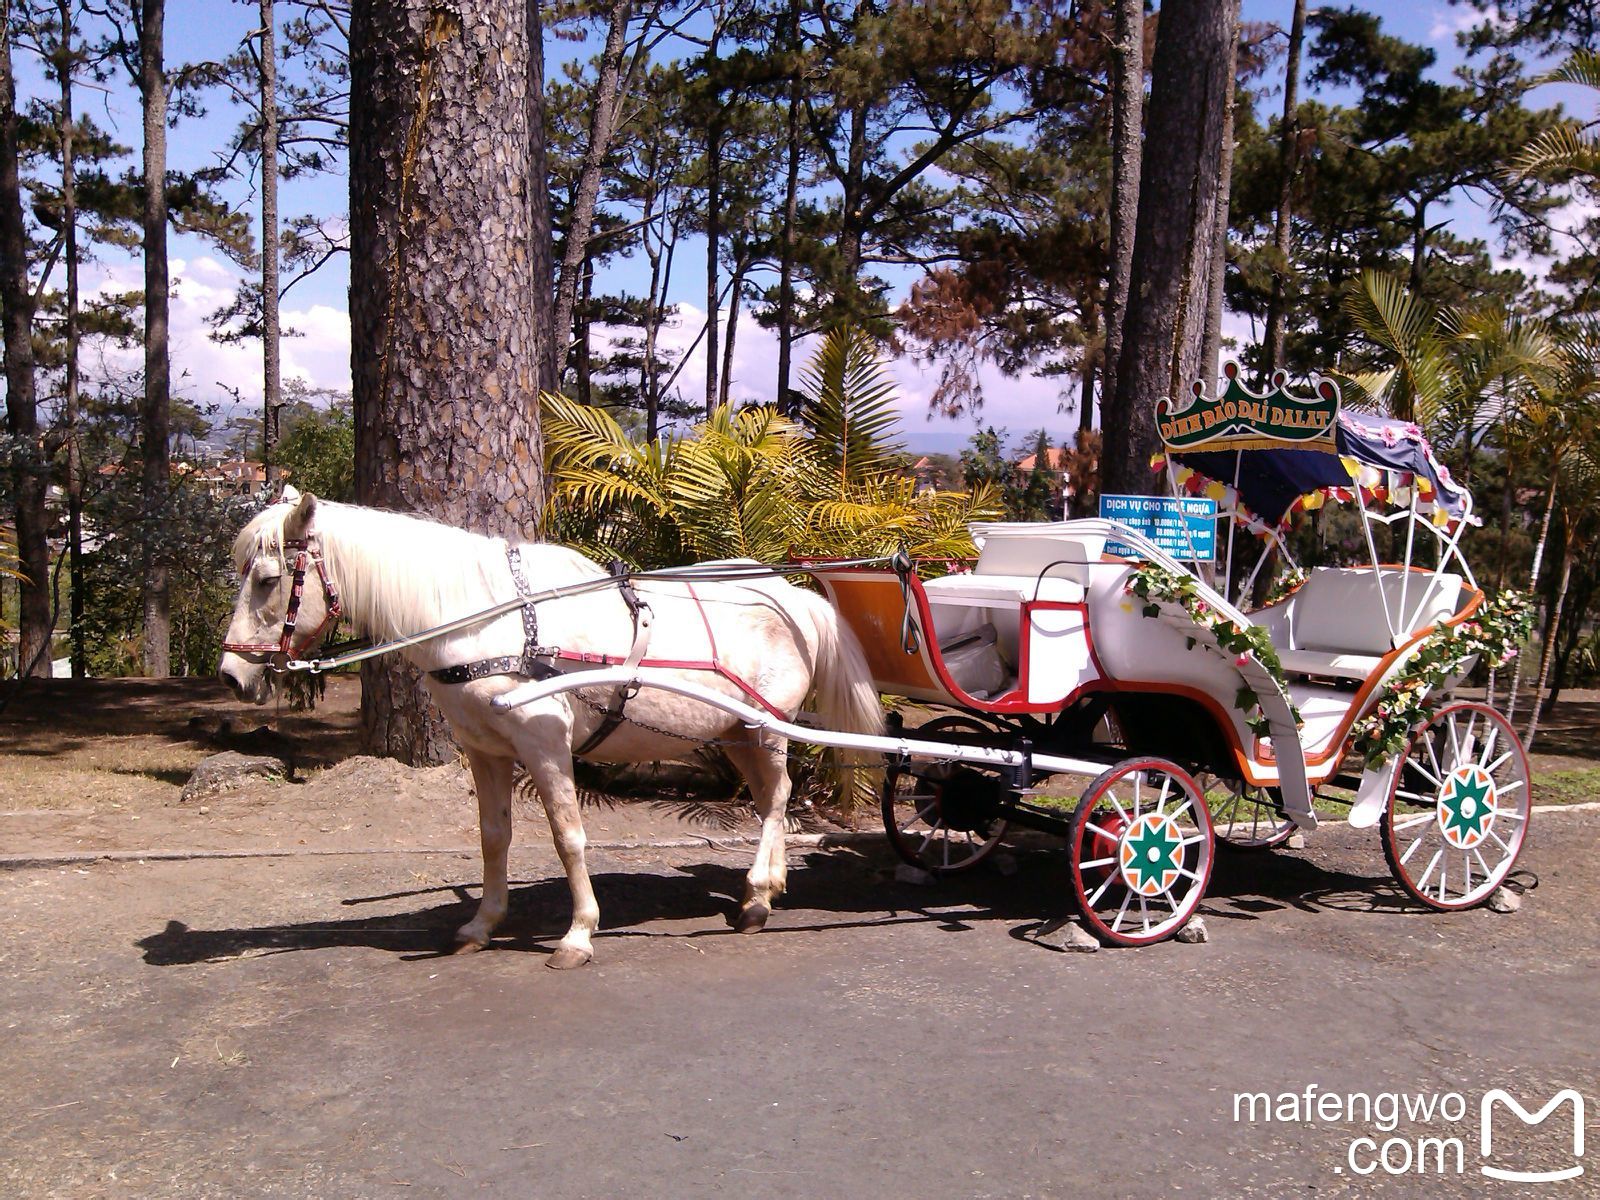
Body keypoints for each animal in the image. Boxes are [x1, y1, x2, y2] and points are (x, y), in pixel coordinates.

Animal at [219, 492, 883, 972]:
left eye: (268, 579)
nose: (230, 673)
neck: (488, 620)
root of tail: (792, 597)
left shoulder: (544, 746)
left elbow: (568, 838)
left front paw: (578, 933)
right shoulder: (484, 752)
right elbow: (493, 838)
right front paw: (482, 924)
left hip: (764, 729)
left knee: (777, 800)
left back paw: (758, 895)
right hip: (736, 732)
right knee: (773, 800)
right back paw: (764, 891)